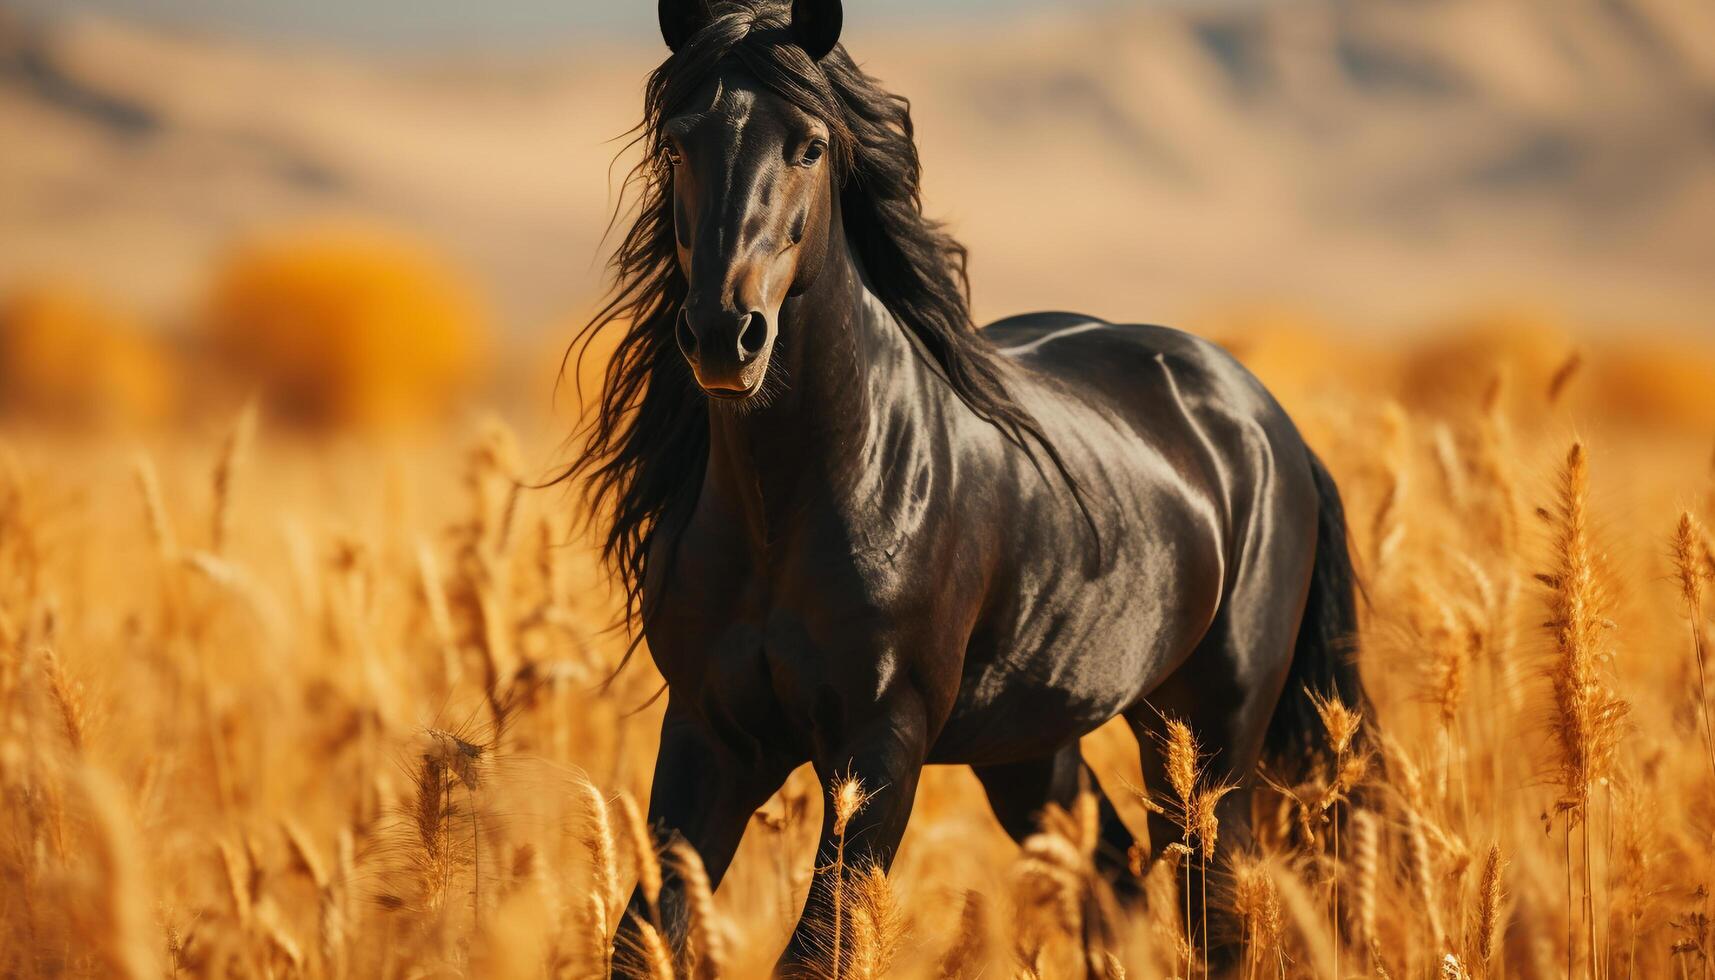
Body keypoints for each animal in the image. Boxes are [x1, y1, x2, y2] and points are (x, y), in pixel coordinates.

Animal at [562, 0, 1365, 967]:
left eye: (809, 145)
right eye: (679, 143)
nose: (724, 335)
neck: (791, 506)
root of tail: (1261, 415)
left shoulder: (880, 747)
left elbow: (819, 950)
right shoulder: (708, 740)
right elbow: (641, 941)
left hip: (1209, 738)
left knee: (1213, 909)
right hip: (1035, 742)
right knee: (1116, 875)